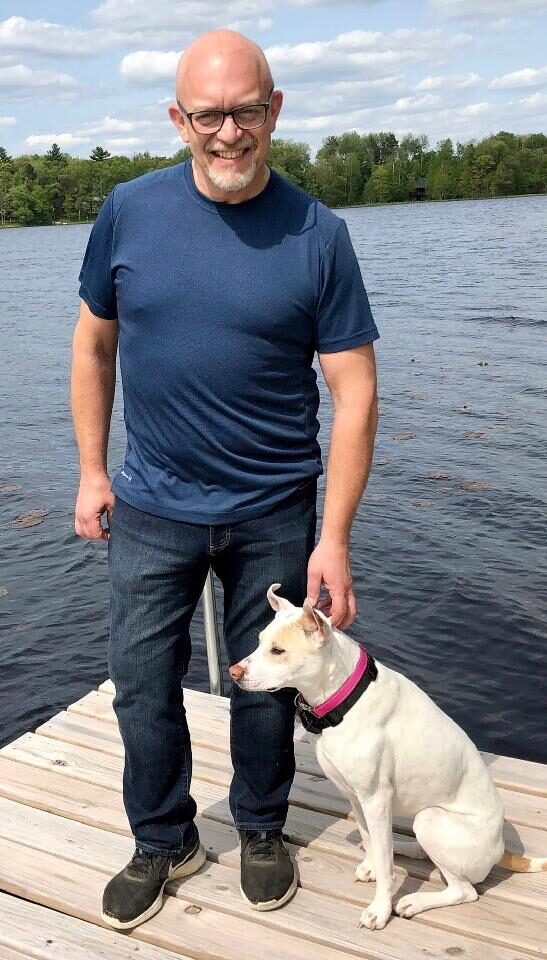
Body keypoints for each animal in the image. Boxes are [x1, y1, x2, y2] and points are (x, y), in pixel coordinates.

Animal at [229, 584, 547, 930]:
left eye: (278, 651)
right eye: (260, 641)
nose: (233, 671)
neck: (345, 698)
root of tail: (502, 848)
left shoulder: (376, 799)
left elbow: (385, 866)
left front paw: (379, 910)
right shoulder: (355, 797)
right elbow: (372, 842)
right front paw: (371, 865)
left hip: (431, 819)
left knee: (464, 891)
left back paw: (414, 901)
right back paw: (407, 849)